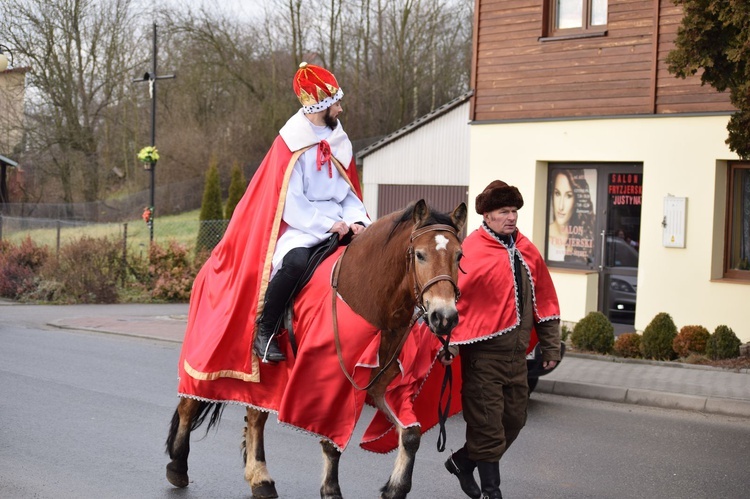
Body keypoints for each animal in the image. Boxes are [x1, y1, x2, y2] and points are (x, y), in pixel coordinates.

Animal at [167, 199, 468, 499]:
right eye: (420, 255)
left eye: (459, 256)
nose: (444, 317)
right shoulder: (328, 387)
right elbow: (330, 441)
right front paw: (331, 490)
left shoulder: (384, 386)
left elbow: (411, 434)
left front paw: (395, 488)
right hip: (208, 361)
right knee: (188, 404)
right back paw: (178, 466)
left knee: (255, 417)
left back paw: (260, 478)